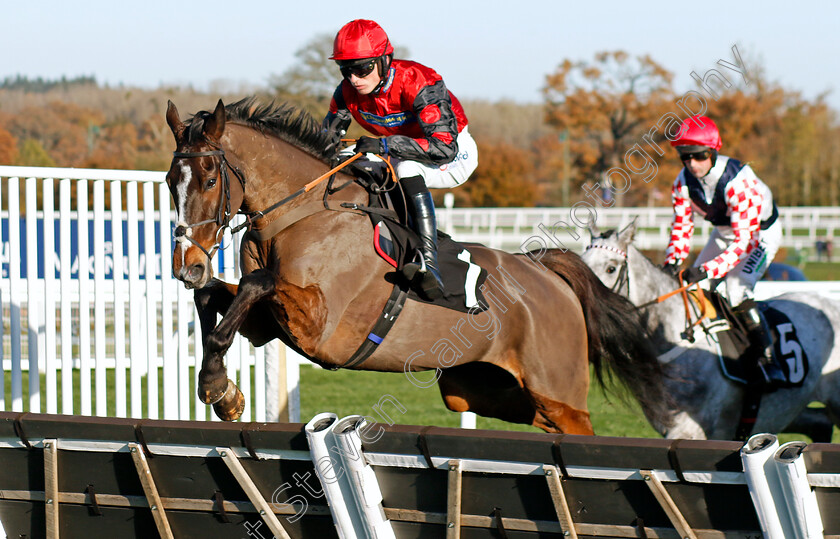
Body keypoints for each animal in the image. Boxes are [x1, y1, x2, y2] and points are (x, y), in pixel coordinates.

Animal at [166, 98, 676, 434]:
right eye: (172, 181)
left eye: (209, 180)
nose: (187, 266)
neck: (303, 213)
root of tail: (549, 274)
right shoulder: (269, 324)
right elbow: (216, 297)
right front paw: (222, 390)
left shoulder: (319, 325)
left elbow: (256, 282)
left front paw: (215, 386)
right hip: (488, 391)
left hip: (560, 394)